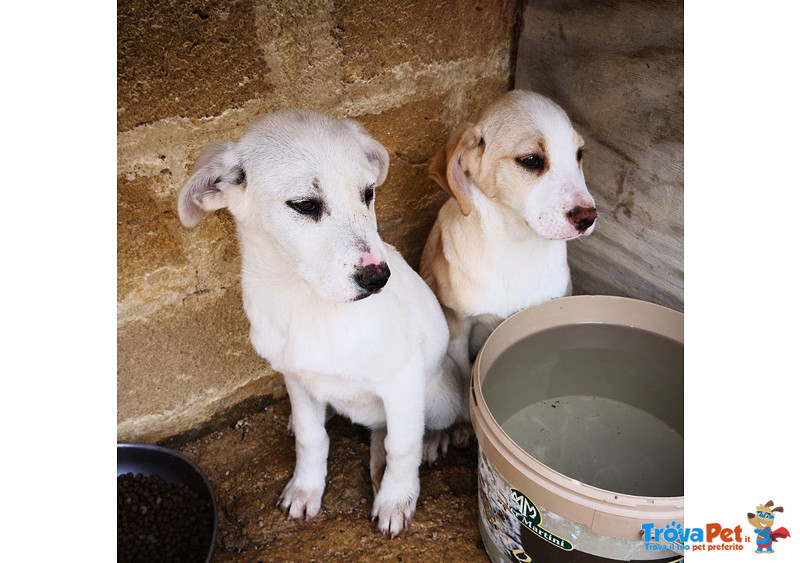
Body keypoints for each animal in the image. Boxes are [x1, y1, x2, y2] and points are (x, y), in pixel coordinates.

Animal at [178, 110, 460, 536]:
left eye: (368, 193)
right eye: (305, 205)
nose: (378, 277)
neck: (309, 301)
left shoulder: (403, 381)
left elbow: (402, 445)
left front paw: (396, 499)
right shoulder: (295, 376)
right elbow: (312, 439)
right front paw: (305, 488)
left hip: (440, 394)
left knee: (413, 428)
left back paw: (432, 442)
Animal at [418, 90, 592, 438]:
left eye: (579, 154)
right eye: (531, 160)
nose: (588, 217)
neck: (516, 247)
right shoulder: (457, 325)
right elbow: (463, 374)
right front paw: (464, 423)